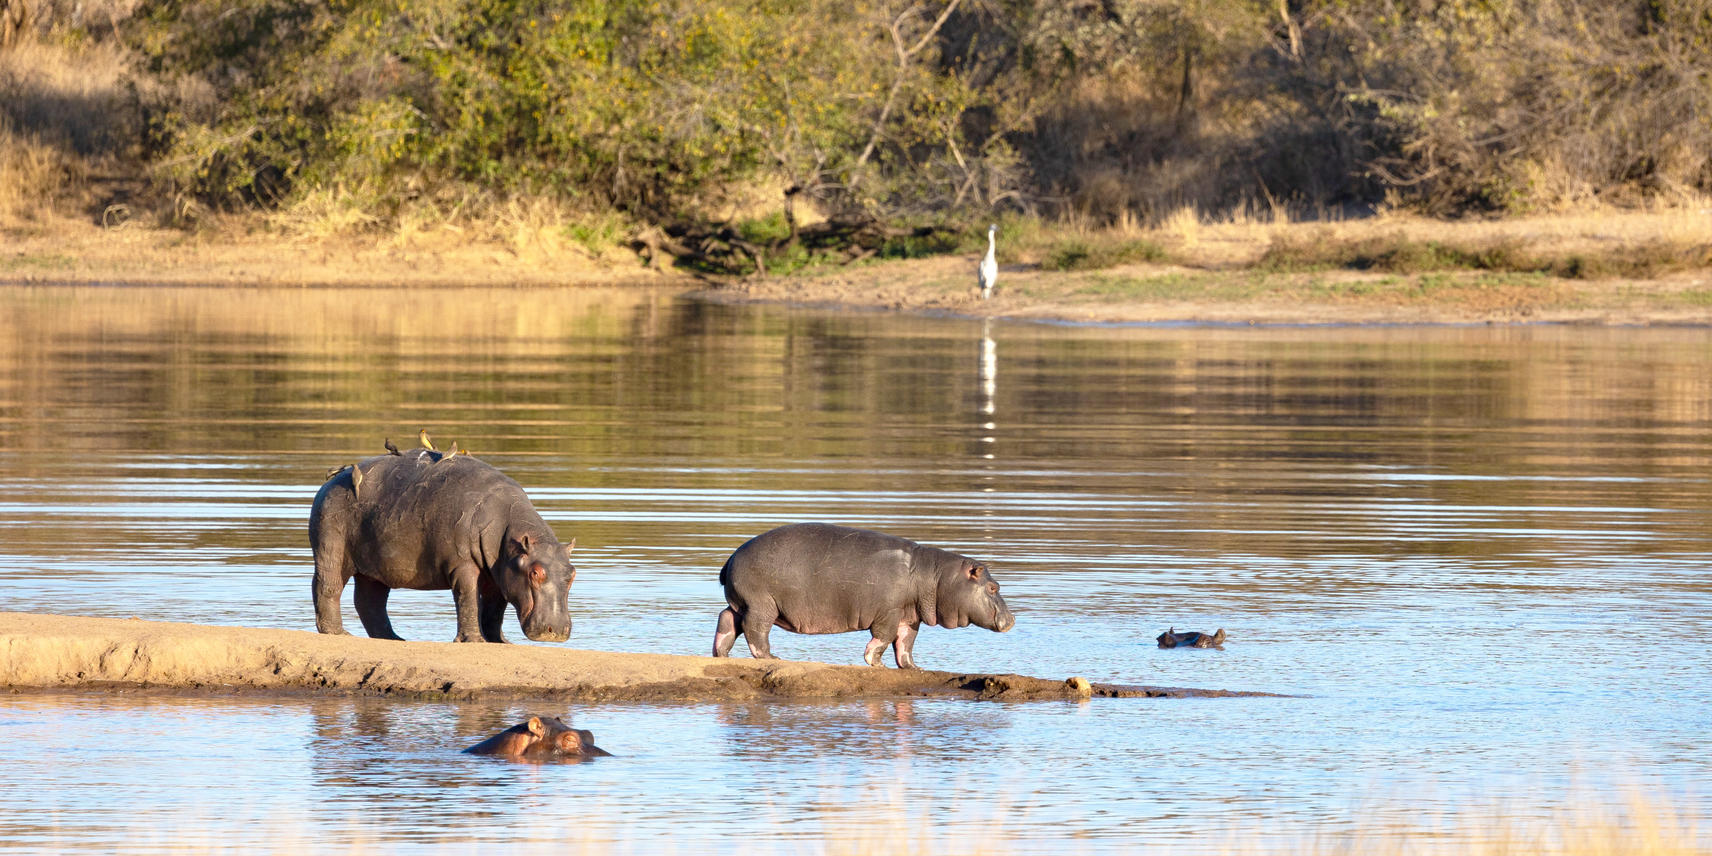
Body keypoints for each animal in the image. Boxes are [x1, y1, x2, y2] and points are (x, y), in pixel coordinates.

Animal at [309, 436, 576, 643]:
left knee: (369, 601)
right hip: (331, 545)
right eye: (535, 572)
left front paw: (500, 641)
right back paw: (339, 633)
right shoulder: (462, 564)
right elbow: (468, 598)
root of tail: (331, 481)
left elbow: (495, 607)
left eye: (573, 574)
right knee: (327, 585)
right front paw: (475, 641)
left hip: (375, 566)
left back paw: (395, 639)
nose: (556, 631)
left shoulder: (499, 571)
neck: (509, 530)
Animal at [711, 523, 1016, 669]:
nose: (1012, 619)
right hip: (762, 604)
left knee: (727, 620)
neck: (935, 577)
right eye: (993, 588)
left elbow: (905, 644)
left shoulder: (909, 615)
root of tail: (731, 558)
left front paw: (915, 668)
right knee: (756, 631)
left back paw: (721, 654)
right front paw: (875, 663)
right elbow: (883, 638)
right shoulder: (889, 613)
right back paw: (774, 658)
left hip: (744, 603)